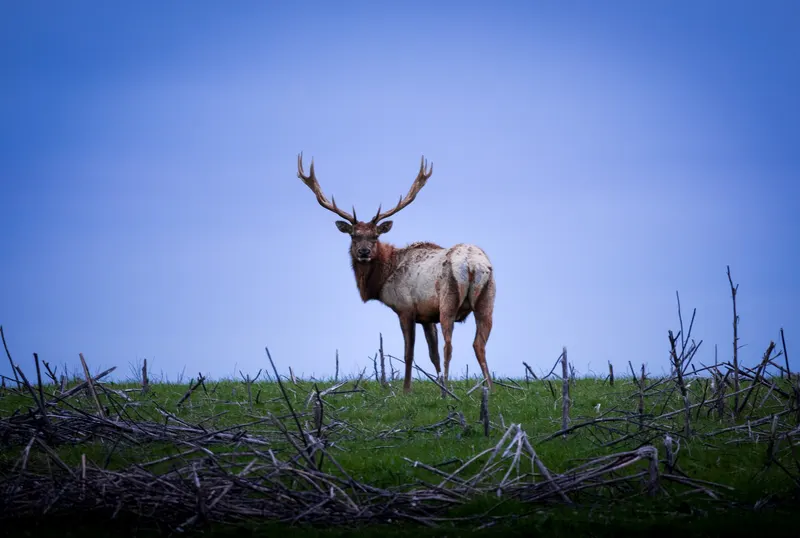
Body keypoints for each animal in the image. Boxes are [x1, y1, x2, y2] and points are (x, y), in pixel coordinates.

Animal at [294, 153, 496, 394]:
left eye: (375, 236)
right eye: (354, 235)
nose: (364, 252)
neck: (382, 280)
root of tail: (471, 263)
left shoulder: (405, 308)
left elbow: (409, 353)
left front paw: (407, 390)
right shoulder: (426, 316)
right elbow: (433, 354)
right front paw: (432, 382)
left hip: (448, 299)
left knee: (450, 345)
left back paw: (447, 390)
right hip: (487, 298)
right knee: (479, 344)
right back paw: (489, 388)